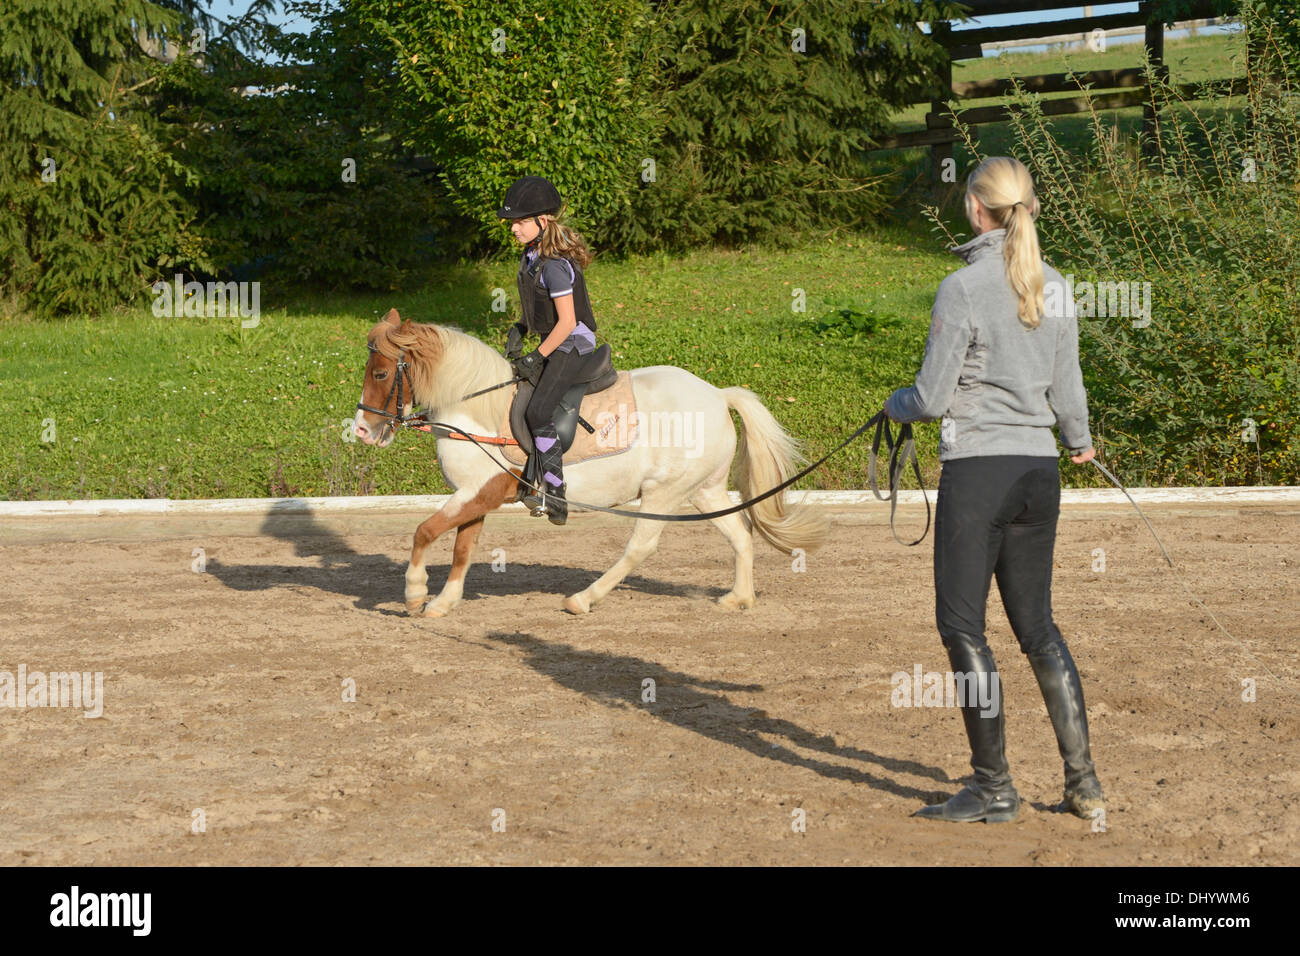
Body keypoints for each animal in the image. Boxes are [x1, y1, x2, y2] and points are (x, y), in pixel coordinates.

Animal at [352, 308, 828, 617]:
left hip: (664, 492)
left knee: (640, 547)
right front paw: (444, 602)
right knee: (740, 534)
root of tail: (717, 394)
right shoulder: (475, 494)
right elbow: (462, 548)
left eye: (380, 374)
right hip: (704, 491)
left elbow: (424, 531)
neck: (476, 410)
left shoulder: (481, 491)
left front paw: (415, 593)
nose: (361, 431)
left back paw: (583, 599)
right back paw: (739, 598)